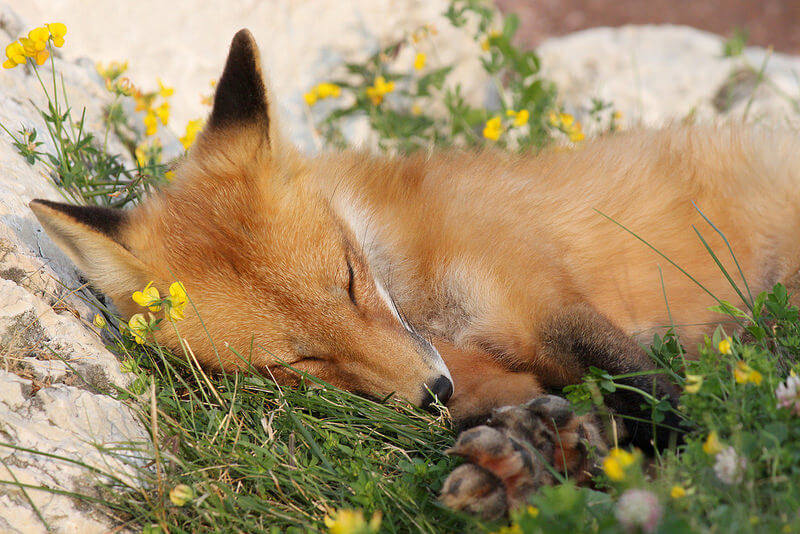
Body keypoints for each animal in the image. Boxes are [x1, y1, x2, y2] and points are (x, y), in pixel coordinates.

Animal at [31, 30, 800, 520]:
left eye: (348, 279)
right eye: (298, 363)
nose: (434, 391)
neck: (418, 291)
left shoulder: (539, 301)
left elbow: (653, 395)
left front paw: (704, 458)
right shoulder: (484, 376)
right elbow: (554, 416)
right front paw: (530, 464)